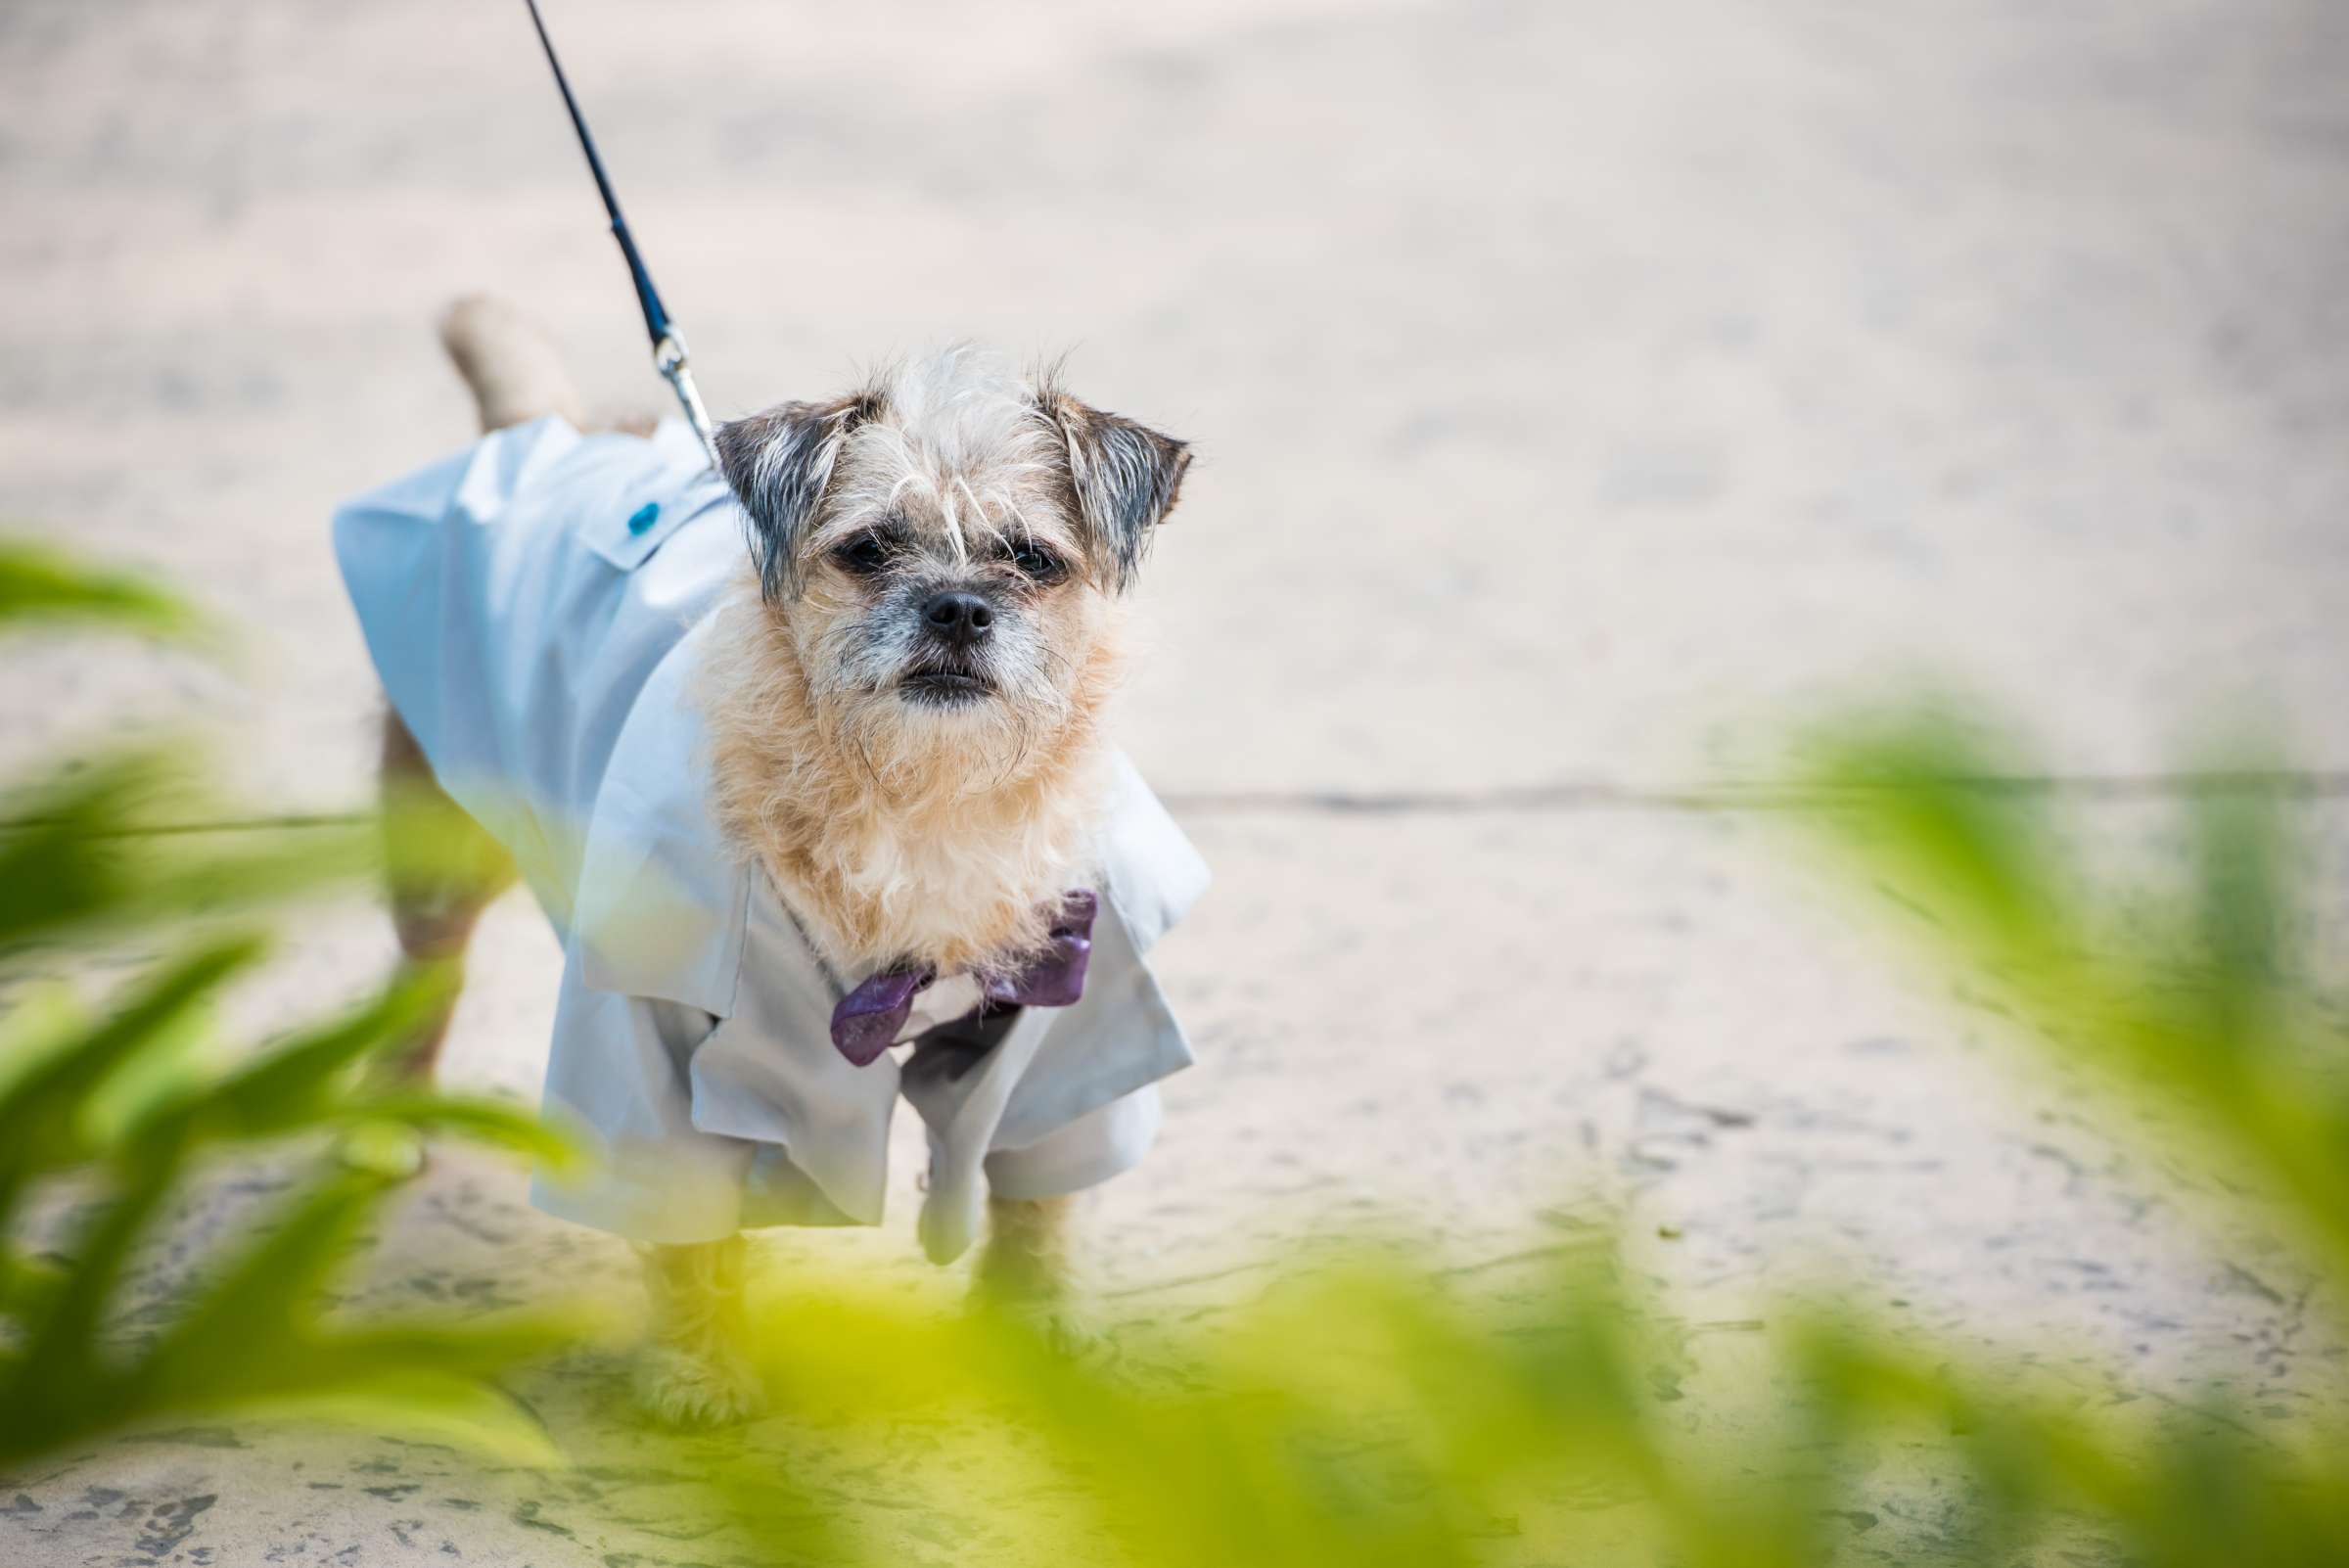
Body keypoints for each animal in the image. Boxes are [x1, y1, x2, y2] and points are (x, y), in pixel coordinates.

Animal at [356, 300, 1202, 1427]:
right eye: (870, 548)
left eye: (1030, 559)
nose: (957, 607)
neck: (918, 798)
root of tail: (554, 425)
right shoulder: (648, 1029)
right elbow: (683, 1218)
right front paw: (699, 1366)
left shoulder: (1067, 1021)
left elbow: (1040, 1192)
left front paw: (1038, 1328)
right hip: (440, 853)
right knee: (428, 970)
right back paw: (386, 1120)